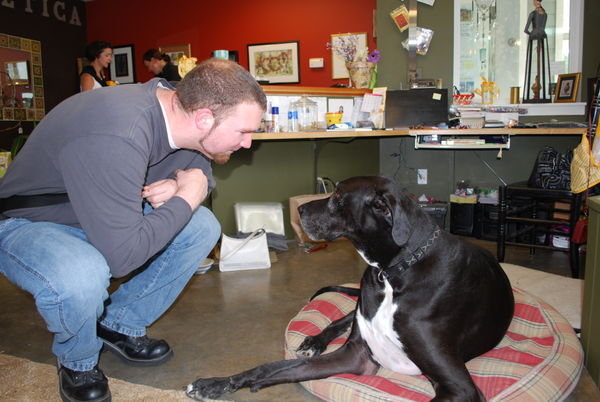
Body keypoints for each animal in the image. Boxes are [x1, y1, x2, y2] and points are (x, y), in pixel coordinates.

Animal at [186, 177, 510, 402]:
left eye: (338, 198)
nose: (299, 209)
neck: (391, 273)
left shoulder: (460, 387)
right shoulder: (356, 356)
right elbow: (271, 368)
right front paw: (215, 384)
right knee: (340, 320)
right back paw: (314, 340)